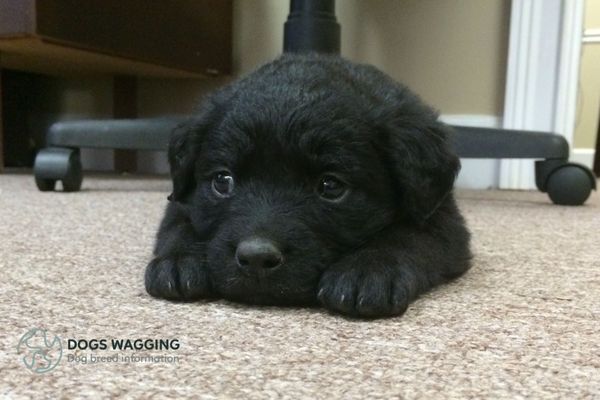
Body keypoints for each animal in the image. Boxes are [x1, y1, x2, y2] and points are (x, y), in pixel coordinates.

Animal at [144, 53, 468, 318]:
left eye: (331, 186)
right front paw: (179, 260)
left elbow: (407, 237)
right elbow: (178, 226)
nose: (257, 257)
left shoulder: (442, 218)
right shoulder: (181, 201)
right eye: (223, 181)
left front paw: (368, 270)